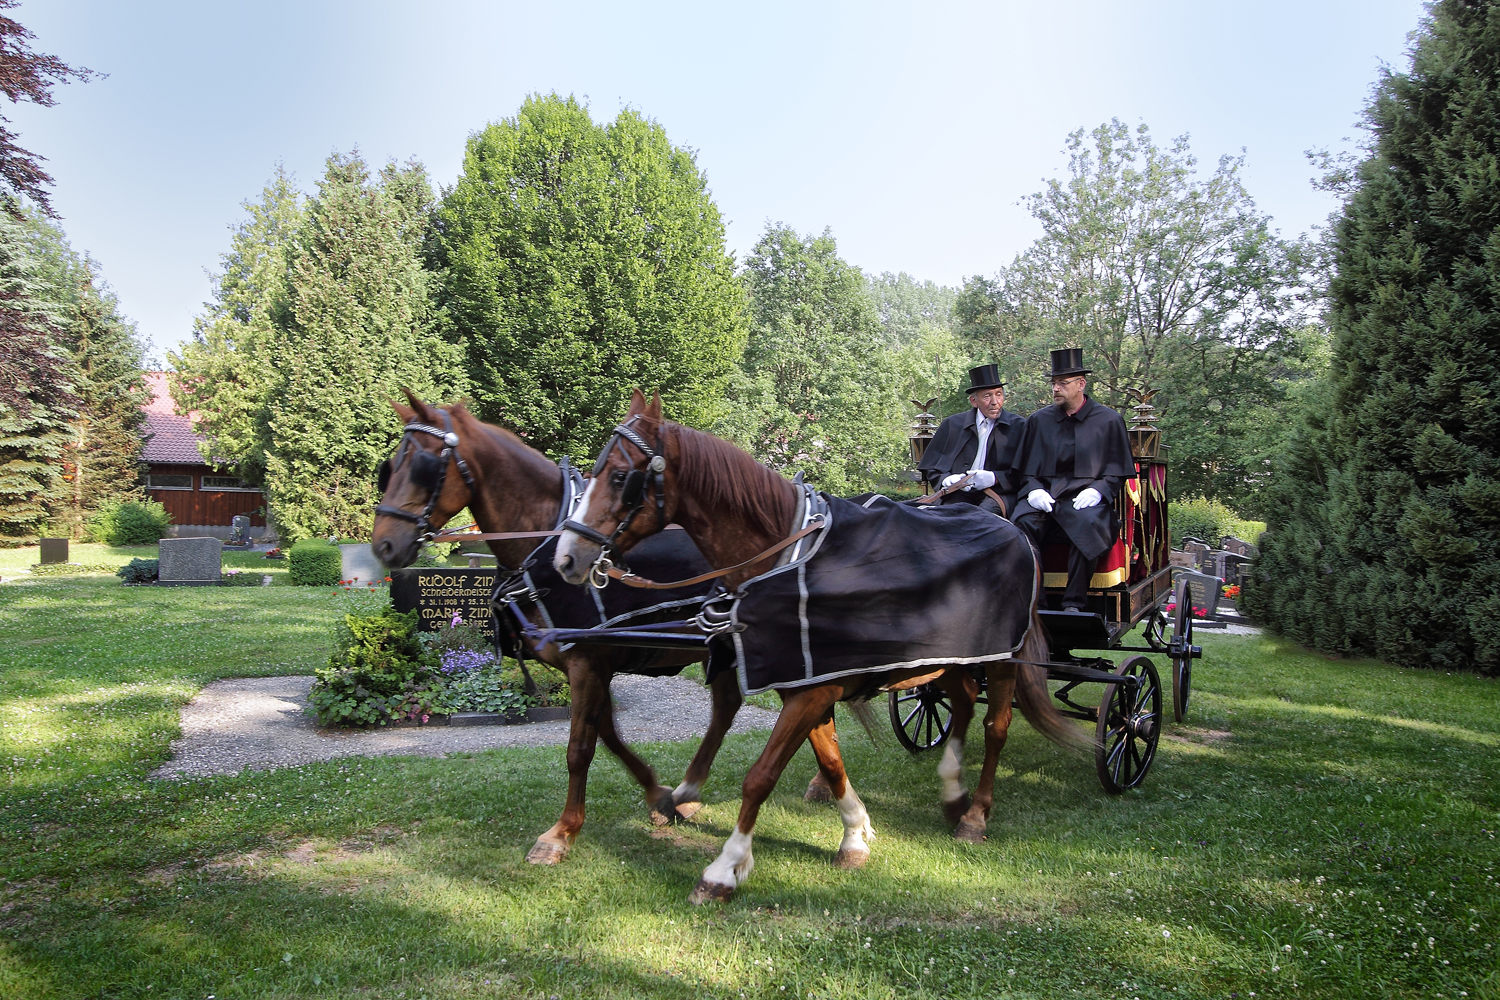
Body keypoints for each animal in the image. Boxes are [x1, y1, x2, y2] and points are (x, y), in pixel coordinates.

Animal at [372, 395, 747, 863]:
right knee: (728, 705)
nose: (383, 544)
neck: (544, 546)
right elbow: (607, 735)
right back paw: (690, 791)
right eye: (390, 467)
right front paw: (657, 793)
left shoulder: (588, 662)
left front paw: (562, 831)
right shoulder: (589, 667)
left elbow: (579, 749)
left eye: (422, 466)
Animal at [555, 392, 1092, 905]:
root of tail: (1013, 528)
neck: (785, 555)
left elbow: (762, 776)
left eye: (621, 476)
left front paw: (724, 869)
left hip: (1001, 659)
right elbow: (831, 762)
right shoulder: (808, 683)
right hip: (950, 656)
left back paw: (976, 814)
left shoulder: (813, 690)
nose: (566, 557)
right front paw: (855, 834)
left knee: (995, 725)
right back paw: (953, 792)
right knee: (960, 702)